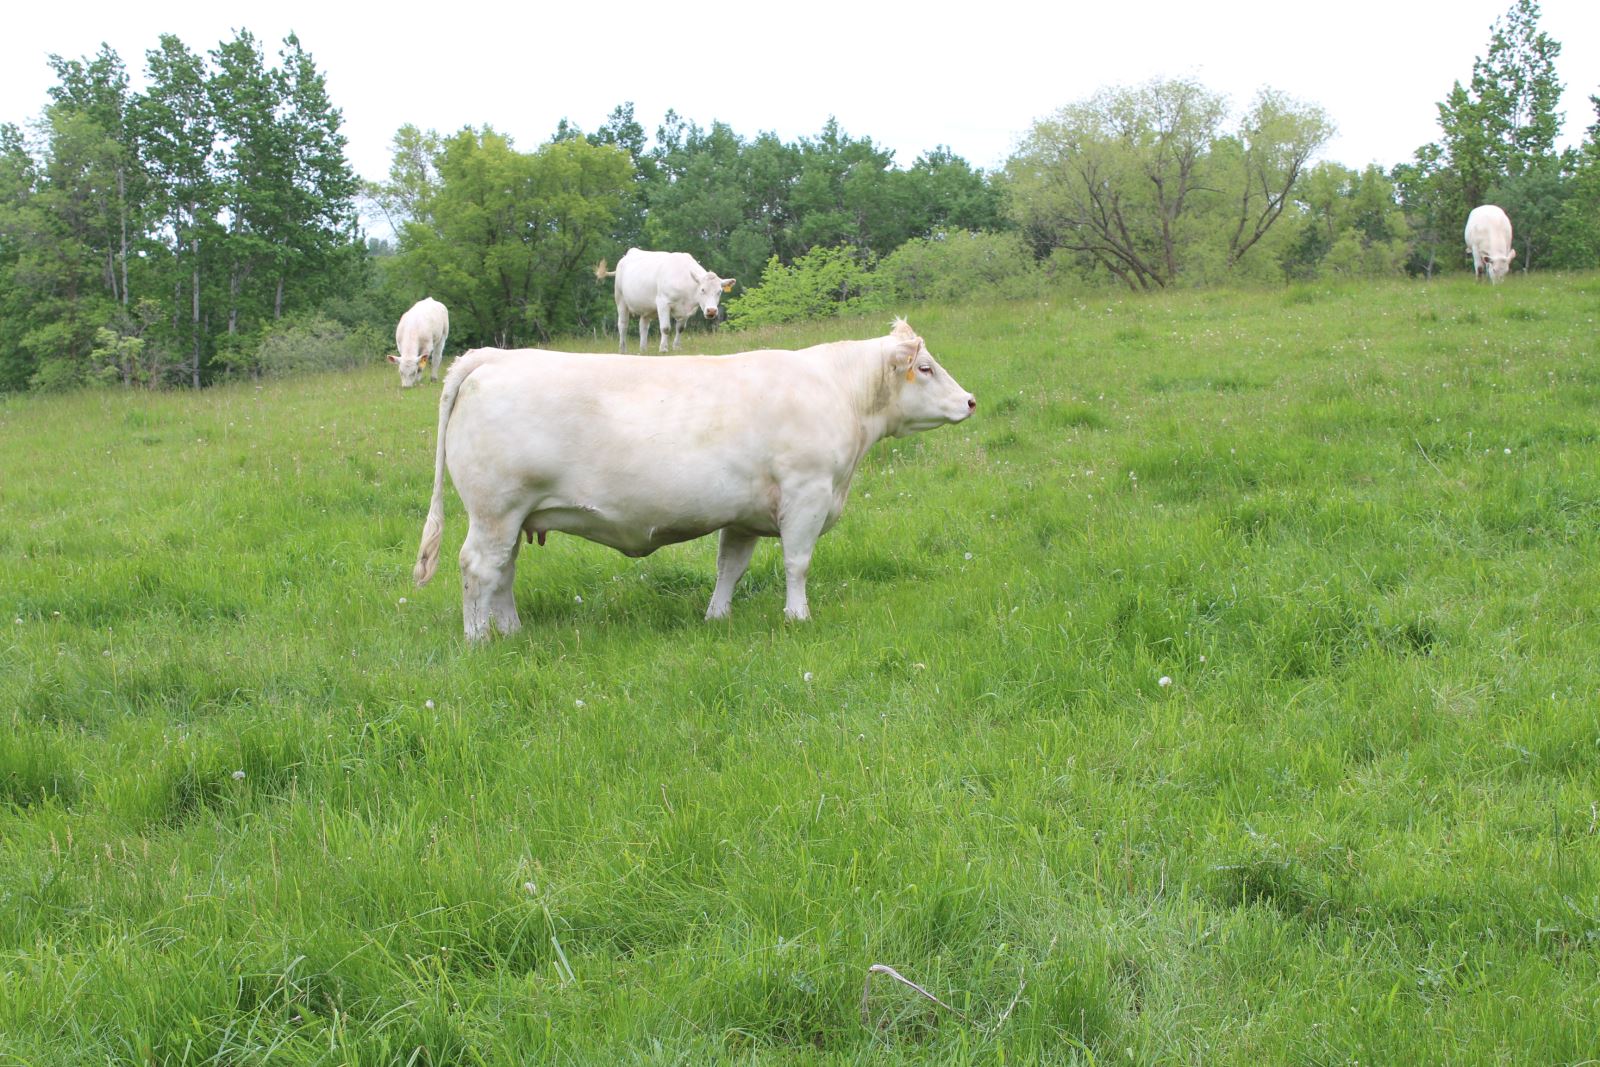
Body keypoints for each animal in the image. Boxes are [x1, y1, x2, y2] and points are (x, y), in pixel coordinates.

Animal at [412, 316, 972, 639]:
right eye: (924, 367)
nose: (970, 401)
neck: (836, 391)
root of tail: (493, 357)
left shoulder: (745, 513)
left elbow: (731, 568)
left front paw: (716, 618)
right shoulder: (806, 494)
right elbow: (798, 563)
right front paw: (797, 617)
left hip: (514, 515)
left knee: (504, 571)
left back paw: (510, 630)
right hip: (495, 509)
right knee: (478, 568)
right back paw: (479, 639)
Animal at [595, 247, 736, 355]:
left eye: (719, 291)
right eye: (702, 290)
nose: (711, 311)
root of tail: (630, 253)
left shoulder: (686, 310)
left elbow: (680, 328)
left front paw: (677, 347)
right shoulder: (663, 303)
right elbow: (665, 328)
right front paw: (663, 349)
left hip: (647, 308)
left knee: (643, 326)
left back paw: (643, 349)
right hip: (620, 300)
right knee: (623, 325)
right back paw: (623, 350)